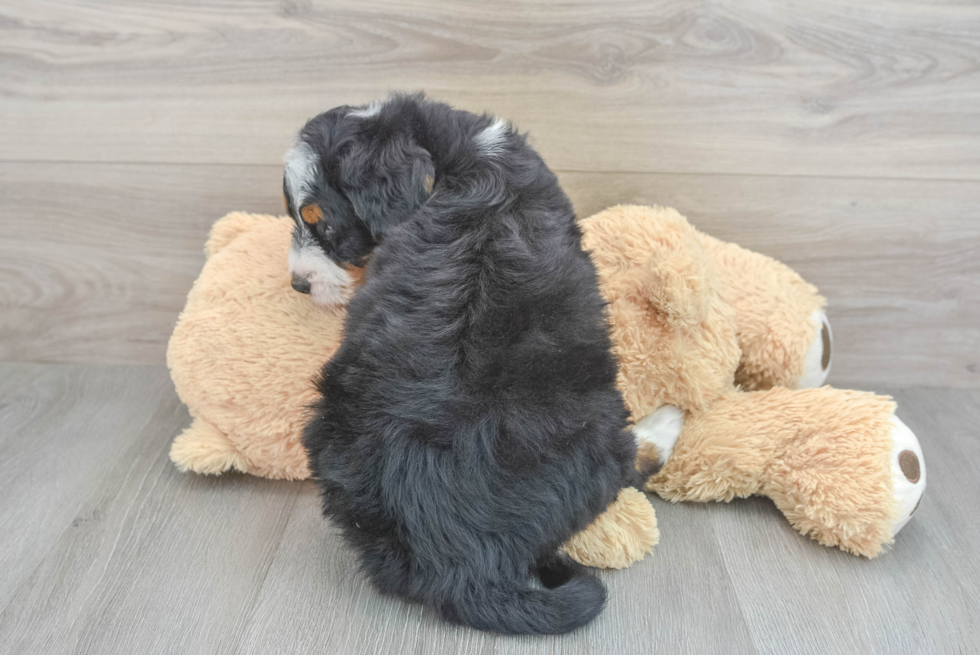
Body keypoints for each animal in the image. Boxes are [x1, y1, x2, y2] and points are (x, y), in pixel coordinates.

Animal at [282, 93, 652, 636]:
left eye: (324, 223)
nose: (298, 284)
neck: (460, 157)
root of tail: (463, 567)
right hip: (604, 430)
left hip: (328, 427)